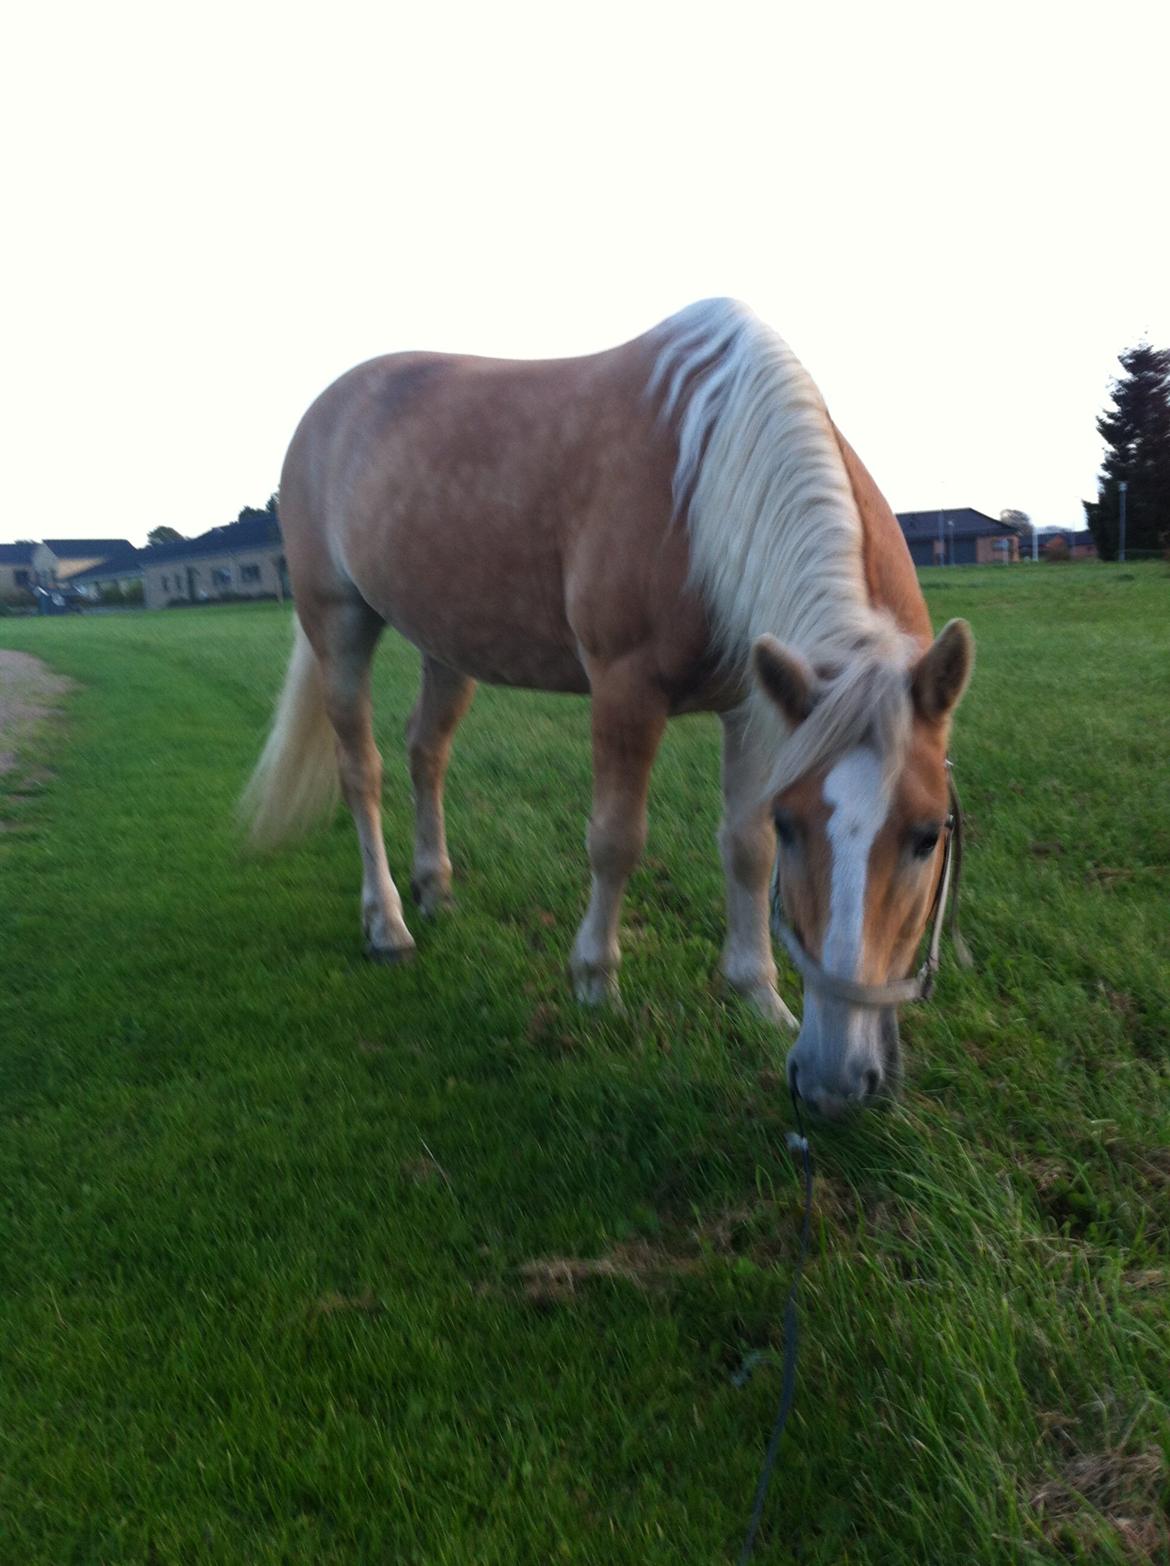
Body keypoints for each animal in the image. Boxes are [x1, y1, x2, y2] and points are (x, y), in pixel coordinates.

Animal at [242, 299, 977, 1114]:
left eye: (928, 835)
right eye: (798, 825)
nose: (834, 1081)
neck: (706, 476)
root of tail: (329, 405)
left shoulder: (754, 707)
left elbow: (743, 849)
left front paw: (758, 995)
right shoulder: (626, 692)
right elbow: (617, 840)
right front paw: (595, 982)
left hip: (447, 645)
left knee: (424, 752)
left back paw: (435, 889)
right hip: (339, 623)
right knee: (362, 772)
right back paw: (389, 924)